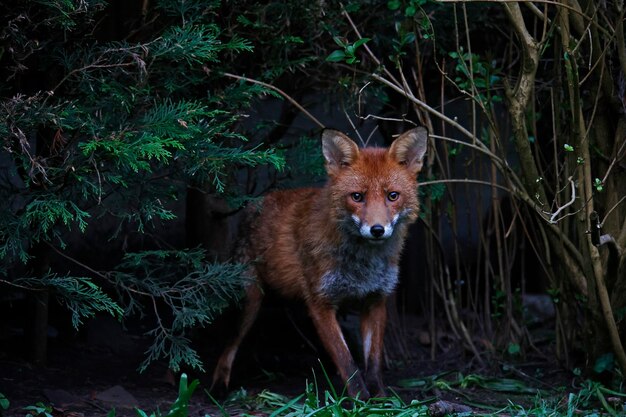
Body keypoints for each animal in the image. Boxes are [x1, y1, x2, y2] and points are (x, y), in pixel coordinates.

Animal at [212, 127, 426, 400]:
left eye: (392, 196)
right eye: (357, 197)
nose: (377, 230)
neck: (362, 265)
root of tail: (254, 204)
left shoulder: (375, 301)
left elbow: (374, 361)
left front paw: (380, 398)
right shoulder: (320, 302)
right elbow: (347, 362)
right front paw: (360, 400)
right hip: (250, 302)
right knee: (229, 344)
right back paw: (218, 386)